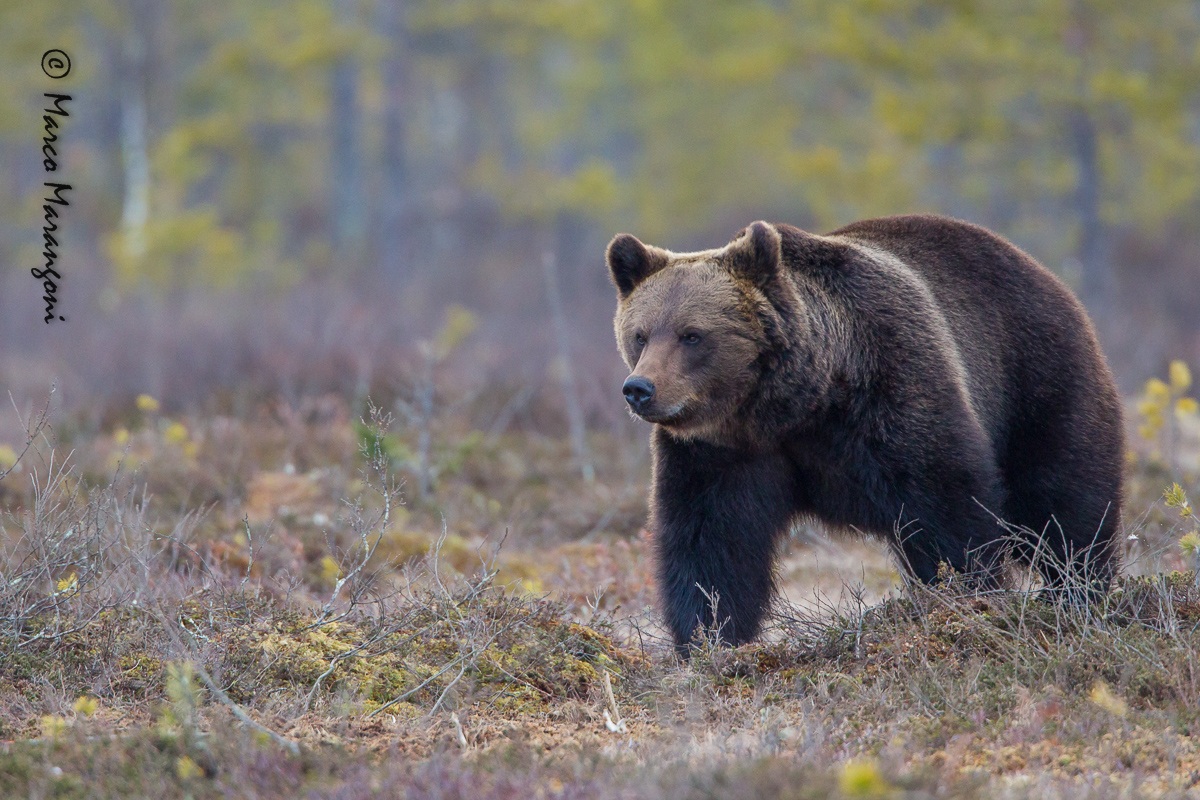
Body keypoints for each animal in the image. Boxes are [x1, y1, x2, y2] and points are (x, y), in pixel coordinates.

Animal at [606, 214, 1124, 651]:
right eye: (641, 334)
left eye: (692, 335)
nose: (639, 389)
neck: (796, 404)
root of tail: (1043, 272)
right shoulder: (722, 452)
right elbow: (710, 542)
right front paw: (710, 638)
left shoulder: (890, 390)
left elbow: (948, 508)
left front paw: (965, 600)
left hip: (1037, 378)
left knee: (1062, 500)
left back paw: (1079, 593)